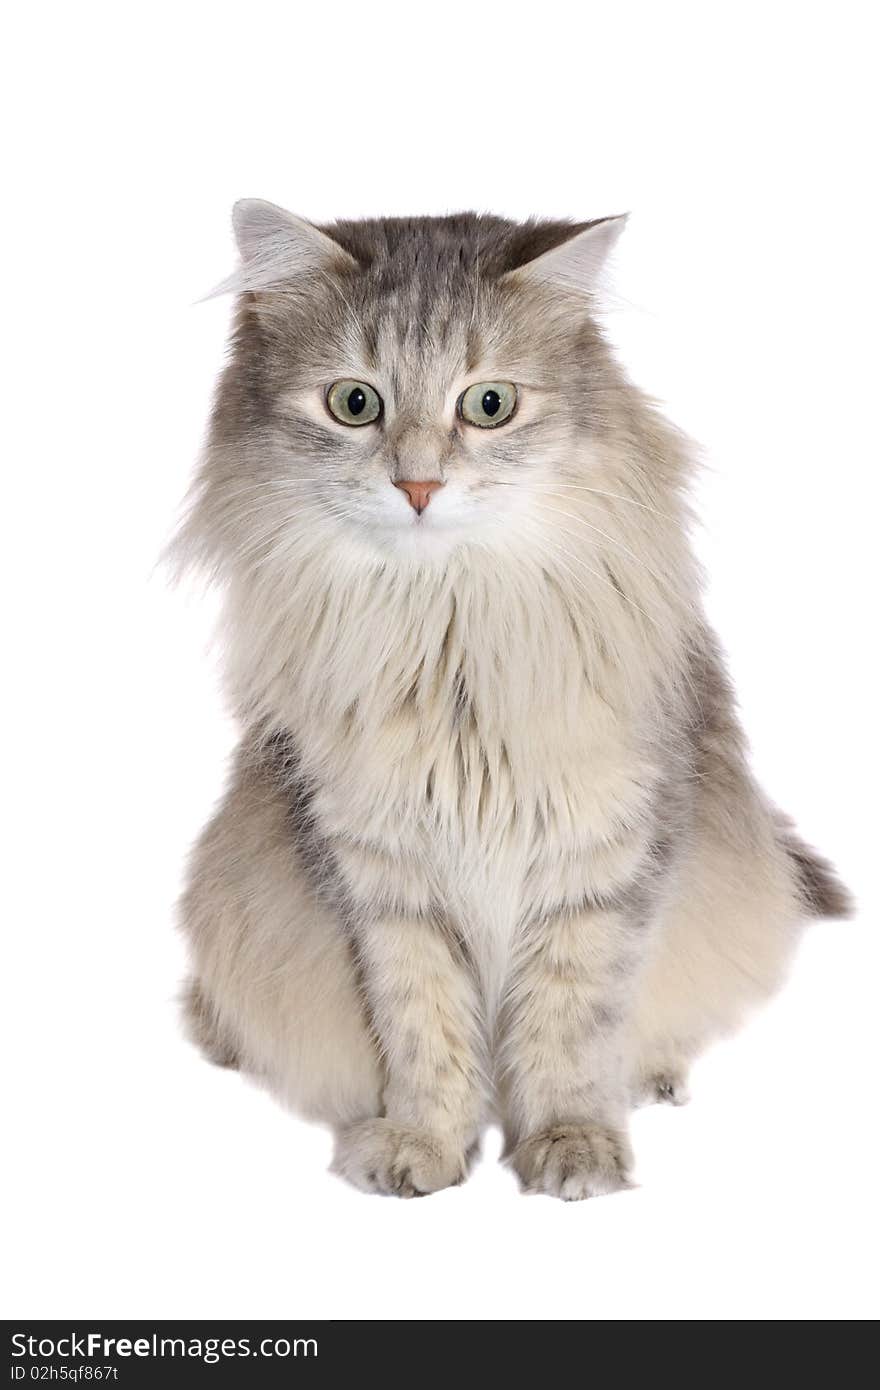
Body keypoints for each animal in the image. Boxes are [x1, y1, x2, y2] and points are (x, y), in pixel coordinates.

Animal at [173, 201, 850, 1200]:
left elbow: (571, 1027)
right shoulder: (382, 879)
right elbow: (424, 1028)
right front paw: (421, 1144)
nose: (418, 486)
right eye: (354, 403)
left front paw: (573, 1146)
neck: (448, 637)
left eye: (487, 404)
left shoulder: (602, 865)